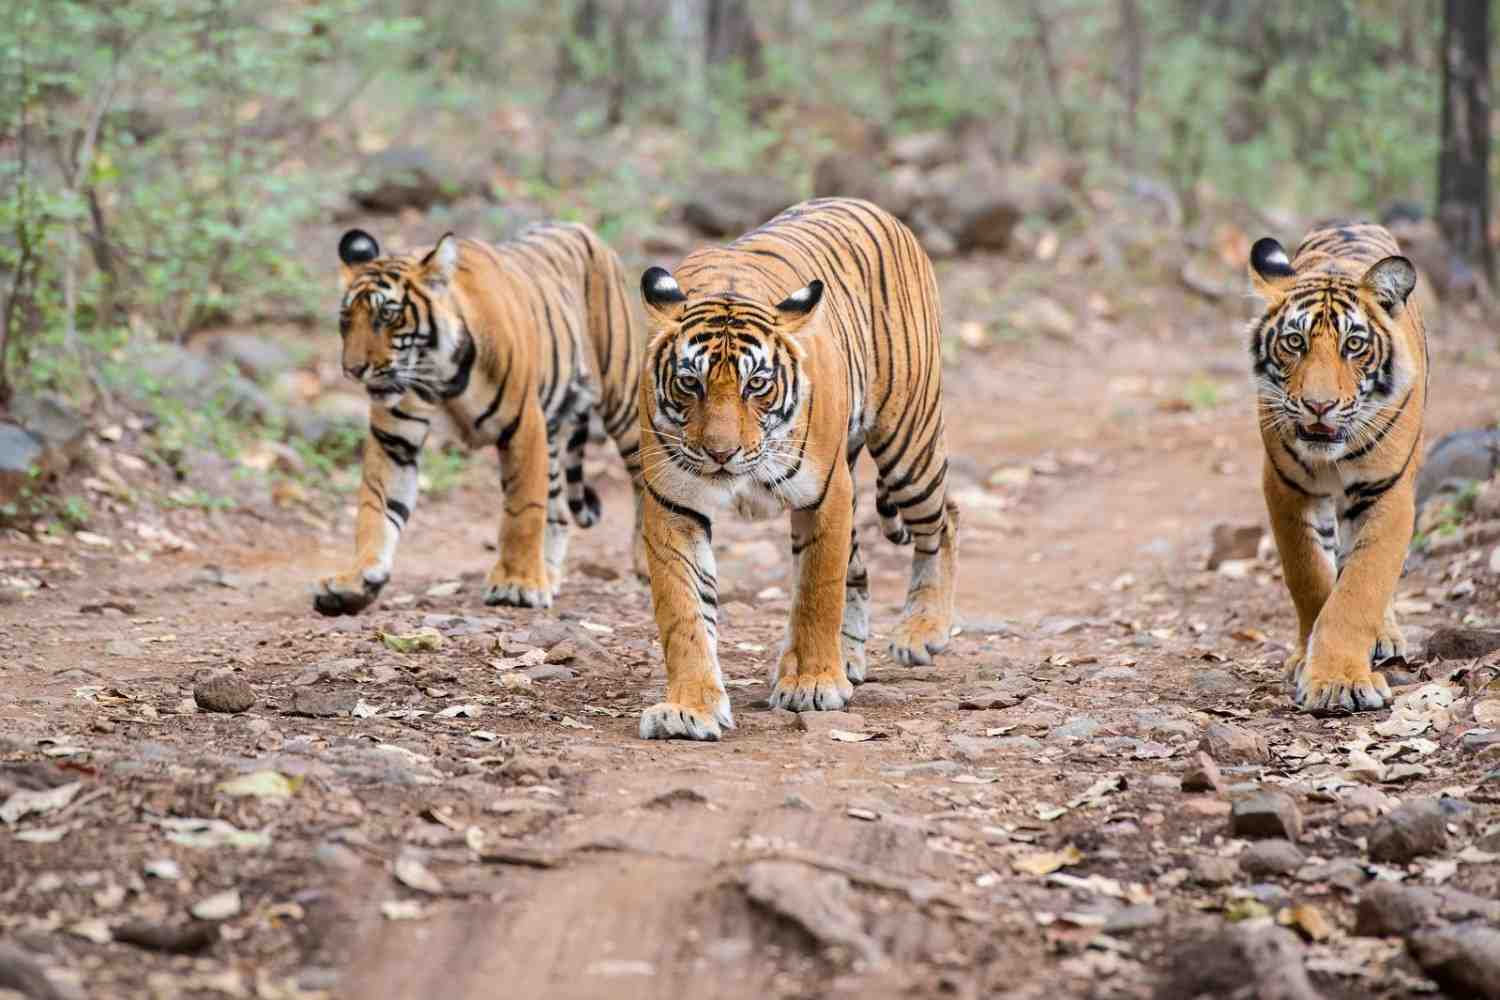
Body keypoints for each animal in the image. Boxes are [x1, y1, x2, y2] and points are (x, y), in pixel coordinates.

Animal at [313, 224, 642, 617]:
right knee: (559, 508)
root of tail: (580, 228)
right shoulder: (394, 441)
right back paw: (547, 574)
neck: (439, 375)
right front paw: (355, 581)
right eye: (346, 320)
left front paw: (517, 584)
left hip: (622, 399)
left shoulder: (523, 425)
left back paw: (641, 564)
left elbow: (522, 510)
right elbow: (376, 507)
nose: (353, 370)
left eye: (387, 317)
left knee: (644, 479)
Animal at [633, 197, 960, 743]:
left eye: (757, 384)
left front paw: (811, 683)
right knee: (861, 568)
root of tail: (871, 206)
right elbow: (683, 612)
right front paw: (689, 708)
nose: (720, 453)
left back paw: (922, 631)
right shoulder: (673, 503)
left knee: (944, 519)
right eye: (689, 383)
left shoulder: (824, 494)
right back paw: (849, 658)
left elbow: (817, 592)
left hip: (907, 445)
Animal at [1248, 223, 1422, 716]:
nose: (1318, 405)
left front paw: (1340, 680)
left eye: (1354, 345)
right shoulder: (1285, 486)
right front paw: (1310, 664)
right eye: (1295, 342)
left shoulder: (1387, 492)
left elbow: (1361, 585)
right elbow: (1308, 574)